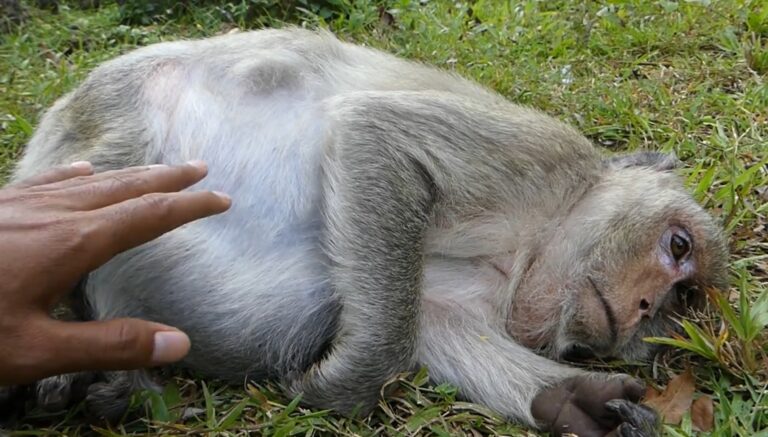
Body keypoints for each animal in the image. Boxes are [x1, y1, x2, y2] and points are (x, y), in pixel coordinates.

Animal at [2, 28, 728, 436]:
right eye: (678, 248)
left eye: (676, 309)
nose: (643, 309)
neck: (526, 249)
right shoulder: (536, 161)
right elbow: (378, 135)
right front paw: (344, 386)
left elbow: (443, 331)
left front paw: (578, 402)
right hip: (108, 132)